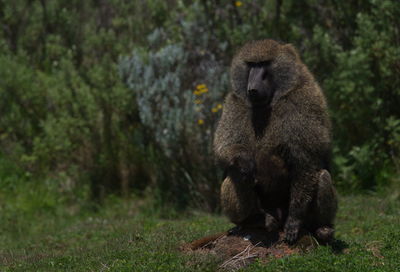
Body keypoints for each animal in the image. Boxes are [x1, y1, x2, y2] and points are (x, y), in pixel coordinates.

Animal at [214, 38, 336, 244]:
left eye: (264, 64)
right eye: (251, 64)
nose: (253, 88)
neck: (269, 102)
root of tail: (277, 217)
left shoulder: (305, 100)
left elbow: (305, 161)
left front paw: (294, 221)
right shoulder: (234, 102)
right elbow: (225, 147)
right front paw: (245, 160)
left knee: (322, 176)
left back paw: (321, 229)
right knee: (236, 172)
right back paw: (253, 220)